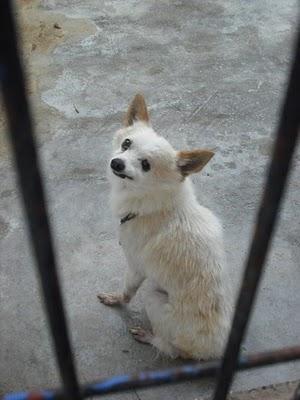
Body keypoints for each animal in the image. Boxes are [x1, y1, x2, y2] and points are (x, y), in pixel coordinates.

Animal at [98, 94, 232, 360]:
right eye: (126, 143)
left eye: (146, 164)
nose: (117, 163)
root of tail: (216, 350)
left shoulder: (136, 266)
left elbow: (127, 291)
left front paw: (116, 299)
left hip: (153, 296)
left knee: (173, 350)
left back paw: (149, 337)